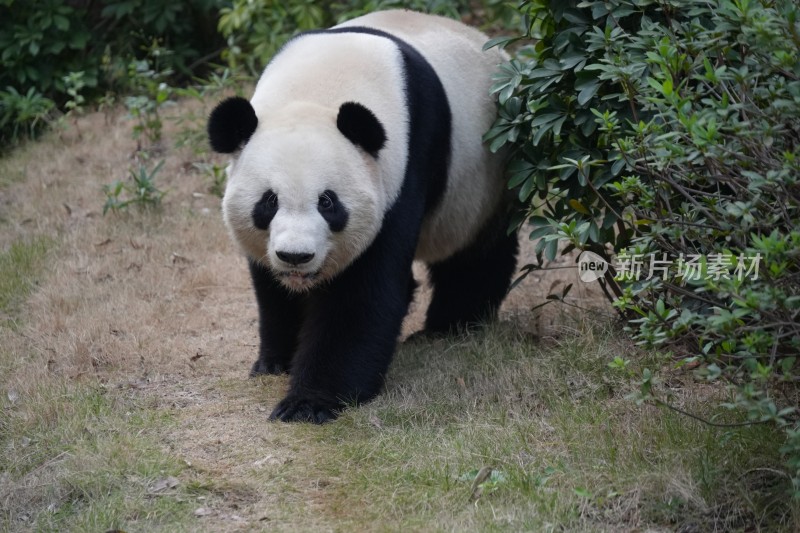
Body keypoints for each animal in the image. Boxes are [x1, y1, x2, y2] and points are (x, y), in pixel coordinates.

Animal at [206, 9, 520, 424]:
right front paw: (274, 362)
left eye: (328, 203)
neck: (318, 85)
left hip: (490, 174)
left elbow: (364, 295)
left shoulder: (402, 168)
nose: (296, 257)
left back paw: (451, 326)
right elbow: (272, 290)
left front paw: (307, 403)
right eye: (268, 202)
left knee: (477, 254)